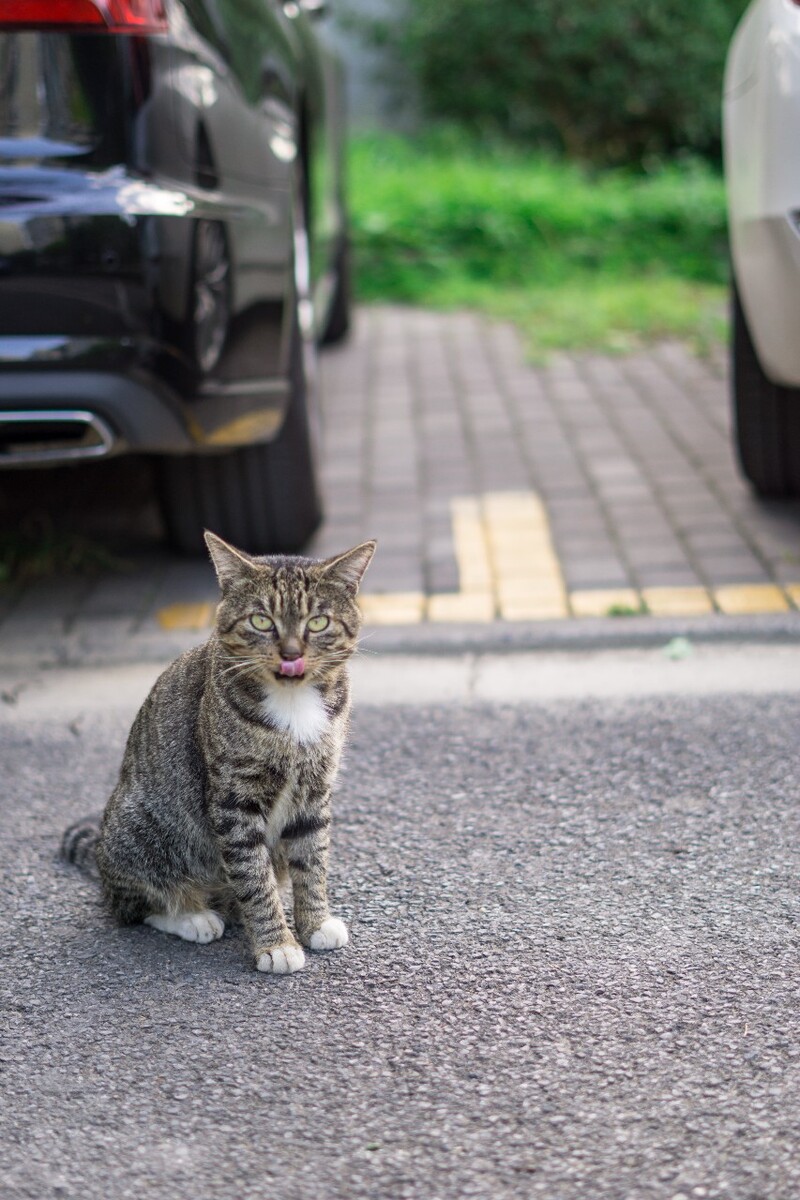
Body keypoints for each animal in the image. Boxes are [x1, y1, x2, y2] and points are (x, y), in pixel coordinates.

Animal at [61, 535, 376, 974]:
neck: (293, 703)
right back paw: (193, 916)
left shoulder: (315, 789)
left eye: (317, 623)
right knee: (133, 905)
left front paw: (314, 923)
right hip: (141, 828)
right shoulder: (234, 800)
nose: (290, 653)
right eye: (261, 621)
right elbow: (254, 877)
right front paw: (276, 944)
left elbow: (312, 861)